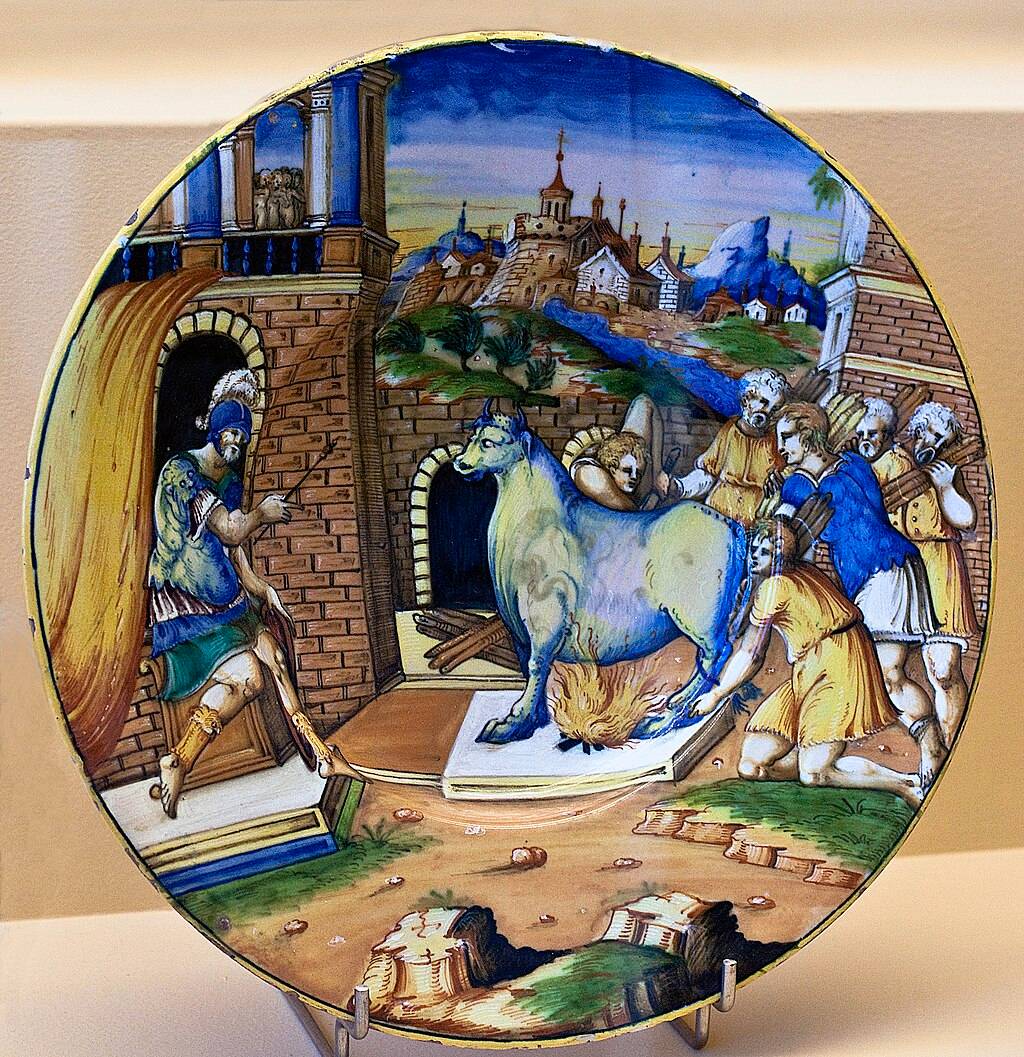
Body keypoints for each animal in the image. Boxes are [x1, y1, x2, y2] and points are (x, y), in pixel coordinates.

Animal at [453, 401, 750, 745]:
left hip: (700, 620)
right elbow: (530, 666)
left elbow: (536, 665)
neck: (536, 520)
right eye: (473, 438)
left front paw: (513, 724)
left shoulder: (544, 617)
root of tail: (732, 526)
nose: (461, 463)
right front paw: (534, 718)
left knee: (715, 654)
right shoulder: (518, 627)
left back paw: (661, 721)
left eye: (490, 442)